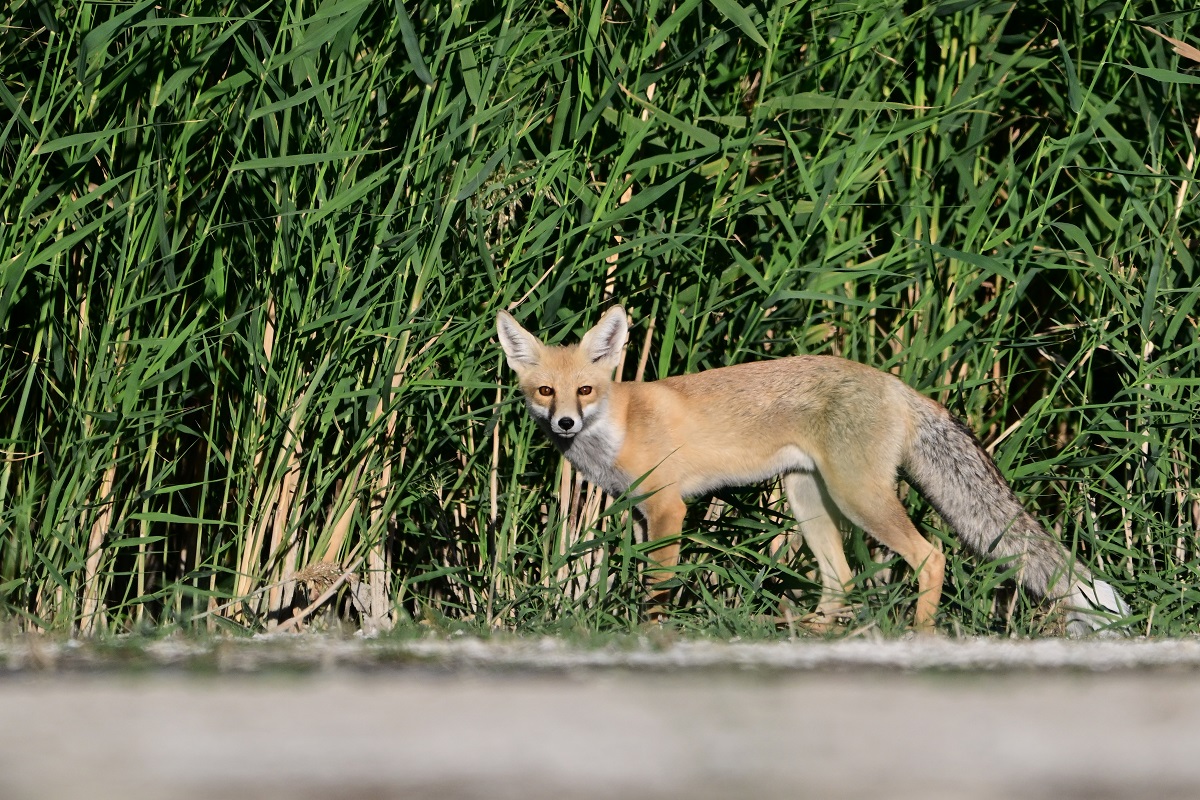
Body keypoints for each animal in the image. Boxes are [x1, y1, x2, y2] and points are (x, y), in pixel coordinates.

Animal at [492, 303, 1128, 633]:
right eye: (546, 391)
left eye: (585, 390)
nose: (565, 424)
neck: (619, 425)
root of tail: (897, 384)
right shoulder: (637, 512)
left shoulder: (669, 508)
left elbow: (657, 588)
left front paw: (649, 636)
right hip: (807, 498)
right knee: (841, 579)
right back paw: (813, 634)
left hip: (856, 498)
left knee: (931, 557)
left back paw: (919, 634)